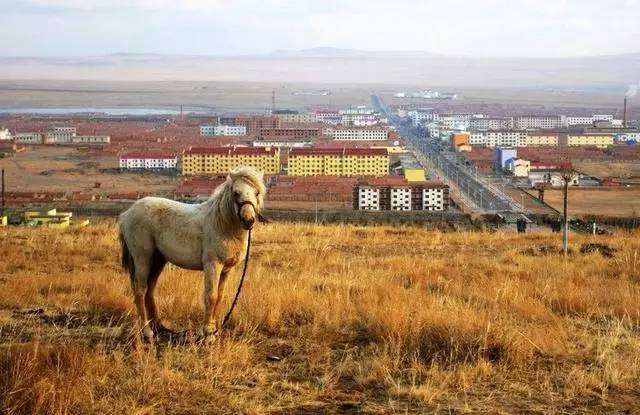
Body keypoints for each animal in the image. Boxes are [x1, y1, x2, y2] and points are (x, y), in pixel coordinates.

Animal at [118, 167, 264, 342]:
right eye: (236, 193)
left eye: (257, 192)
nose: (248, 220)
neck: (222, 224)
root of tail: (126, 214)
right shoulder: (213, 265)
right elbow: (211, 296)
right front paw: (207, 334)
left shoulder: (227, 269)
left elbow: (220, 297)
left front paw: (214, 331)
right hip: (142, 259)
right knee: (140, 290)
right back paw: (147, 332)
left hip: (158, 260)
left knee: (150, 290)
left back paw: (158, 326)